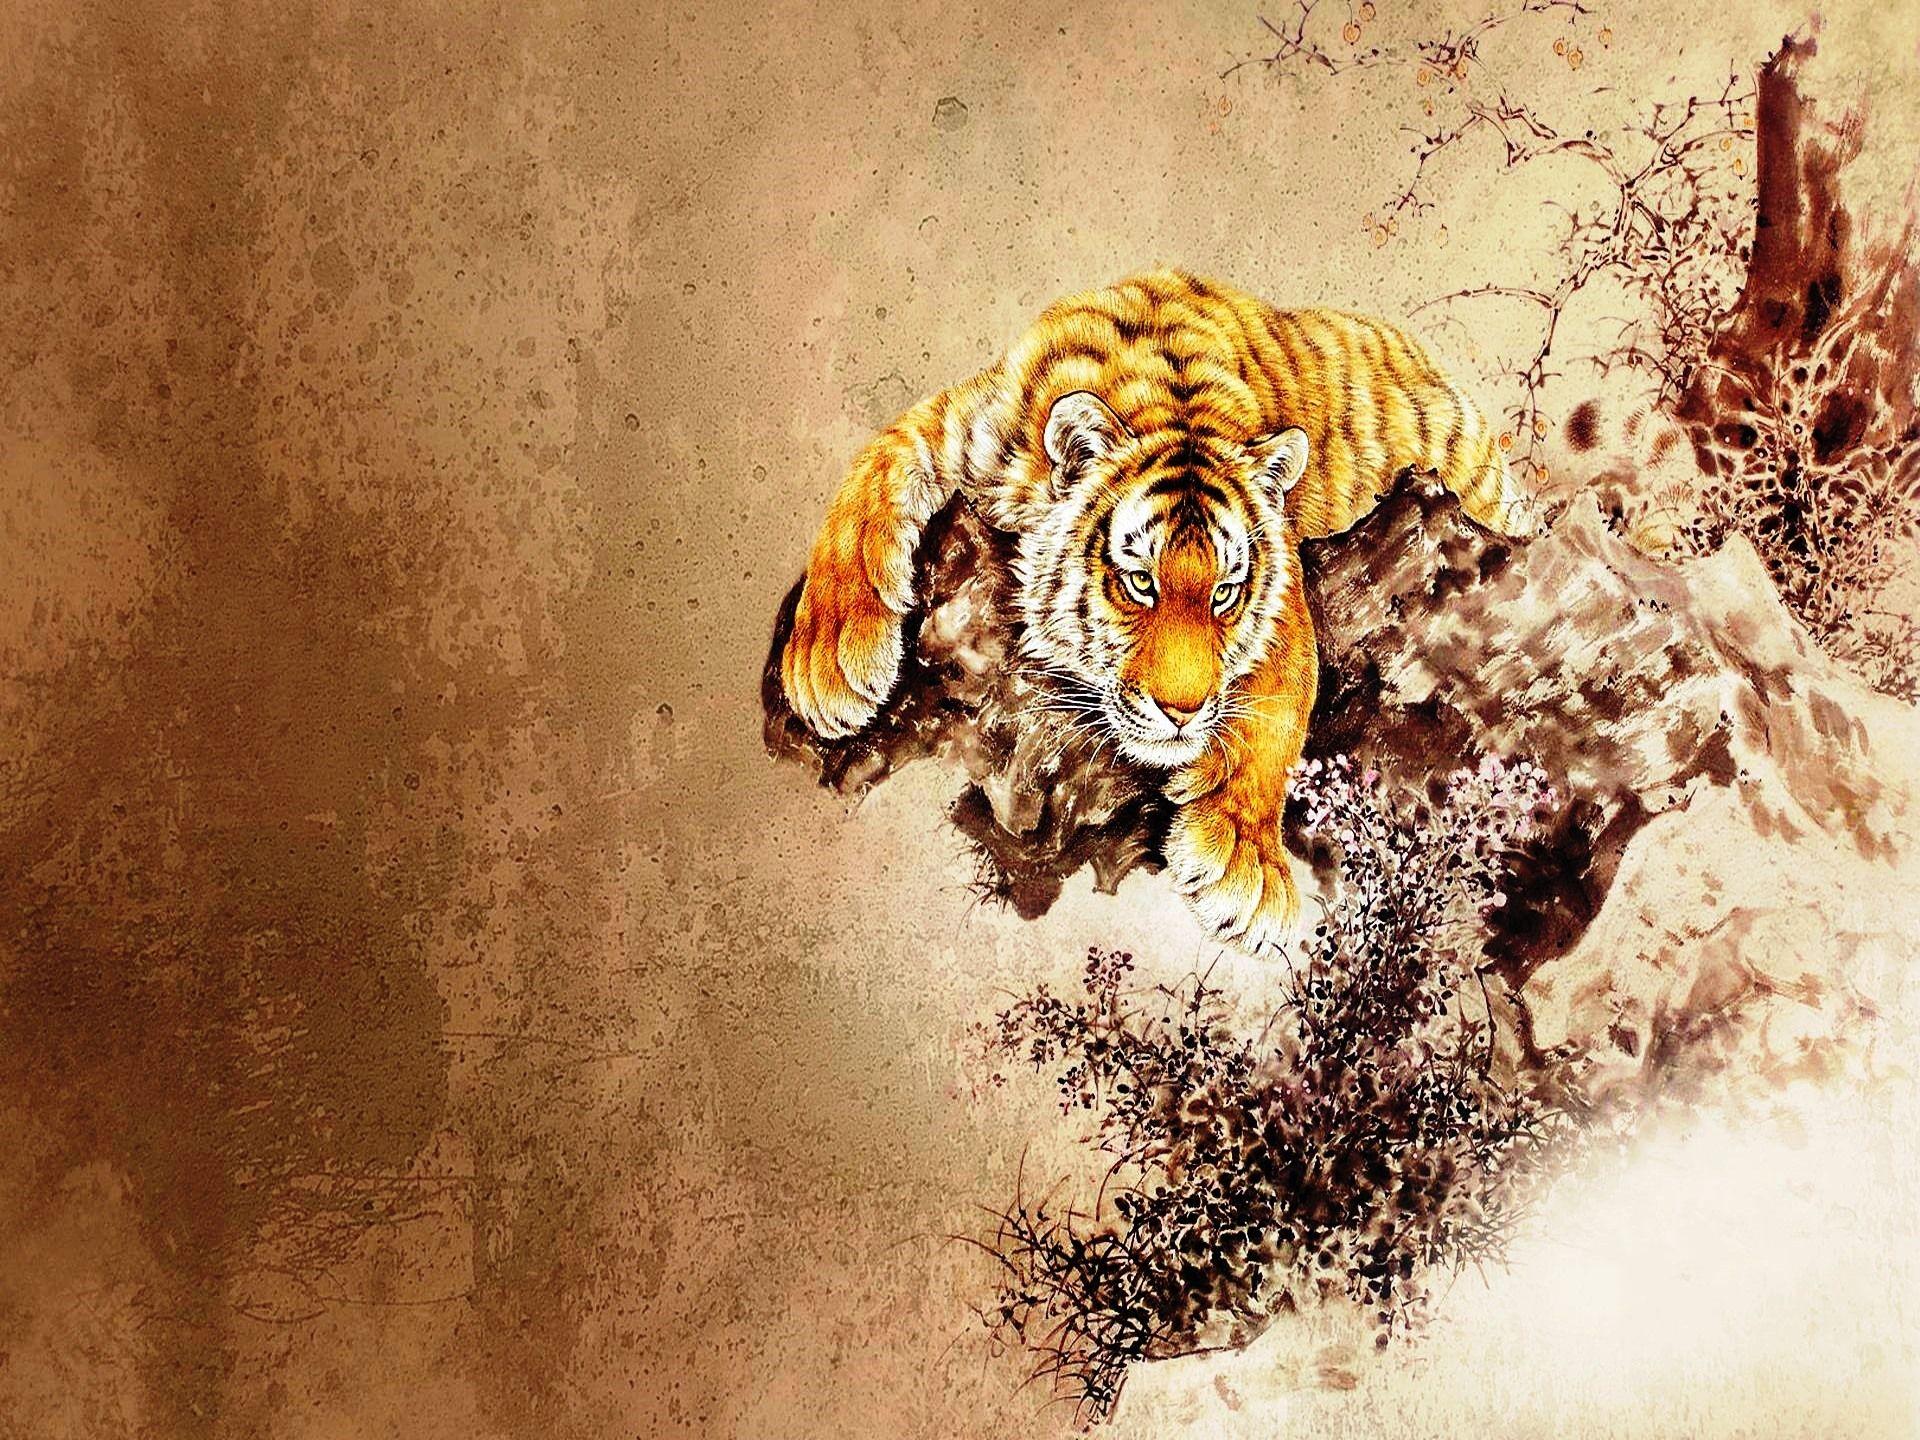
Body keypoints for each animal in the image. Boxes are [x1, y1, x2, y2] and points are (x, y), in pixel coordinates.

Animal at [780, 270, 1532, 953]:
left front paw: (1244, 866)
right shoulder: (959, 423)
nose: (1182, 711)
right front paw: (827, 665)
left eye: (1224, 594)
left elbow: (1279, 706)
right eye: (1140, 583)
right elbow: (867, 480)